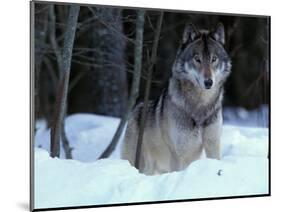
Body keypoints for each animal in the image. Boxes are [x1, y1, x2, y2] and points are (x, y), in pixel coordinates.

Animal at [121, 23, 231, 176]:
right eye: (197, 59)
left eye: (213, 59)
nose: (208, 82)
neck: (201, 105)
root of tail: (135, 110)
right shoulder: (179, 154)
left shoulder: (213, 144)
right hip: (142, 164)